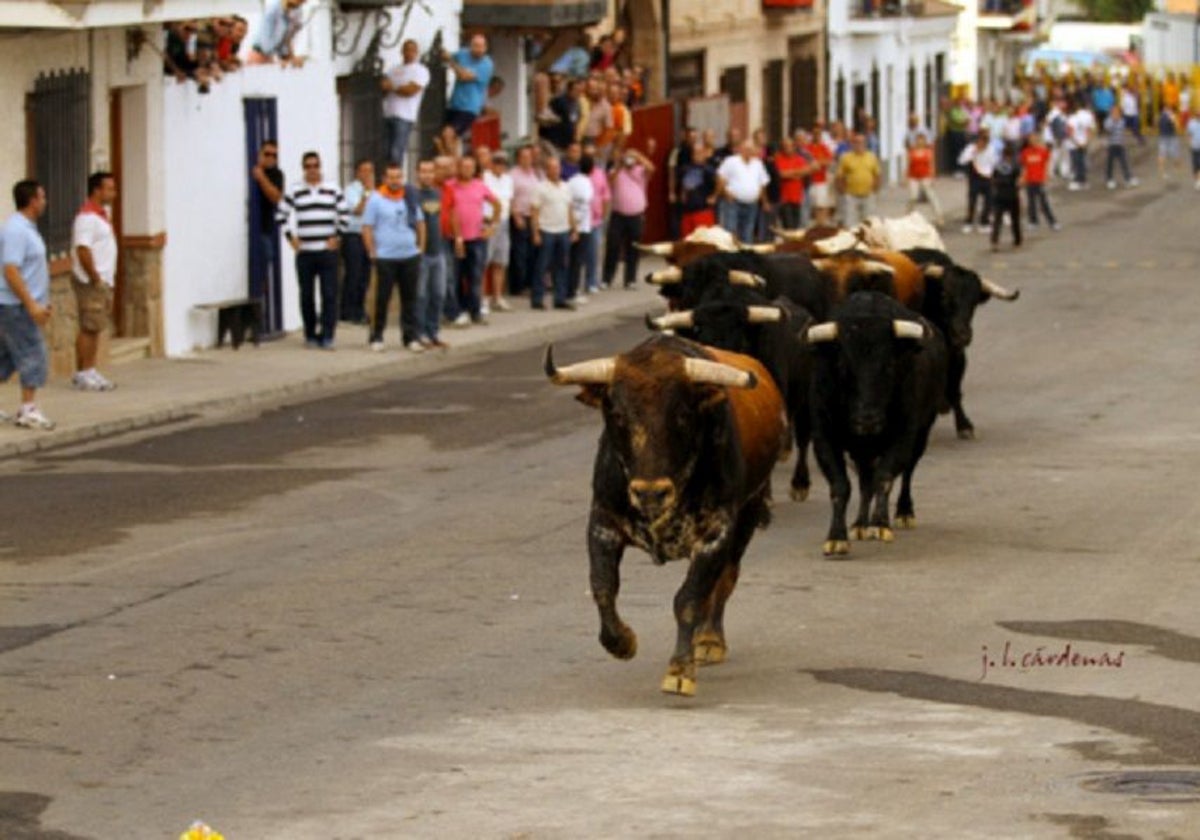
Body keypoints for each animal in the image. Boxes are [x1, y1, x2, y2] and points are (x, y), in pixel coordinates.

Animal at [544, 333, 787, 696]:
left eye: (683, 414)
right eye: (617, 414)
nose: (650, 492)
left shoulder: (716, 535)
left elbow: (688, 599)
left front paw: (680, 669)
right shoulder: (602, 523)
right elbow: (603, 586)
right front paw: (621, 642)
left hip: (749, 513)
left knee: (725, 579)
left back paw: (710, 639)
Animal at [806, 291, 945, 554]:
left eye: (889, 365)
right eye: (842, 366)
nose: (867, 419)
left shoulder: (904, 435)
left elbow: (885, 477)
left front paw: (880, 525)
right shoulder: (823, 436)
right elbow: (841, 486)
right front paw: (837, 537)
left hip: (921, 434)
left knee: (906, 472)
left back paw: (903, 513)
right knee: (864, 482)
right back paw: (861, 523)